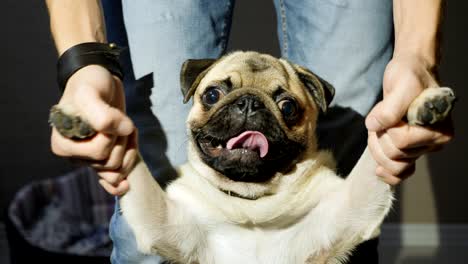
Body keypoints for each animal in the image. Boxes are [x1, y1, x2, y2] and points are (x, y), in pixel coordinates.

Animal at [50, 50, 454, 262]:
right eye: (213, 95)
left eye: (288, 107)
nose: (248, 104)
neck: (252, 202)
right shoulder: (166, 224)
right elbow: (134, 168)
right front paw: (92, 125)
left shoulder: (345, 214)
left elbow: (373, 155)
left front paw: (420, 106)